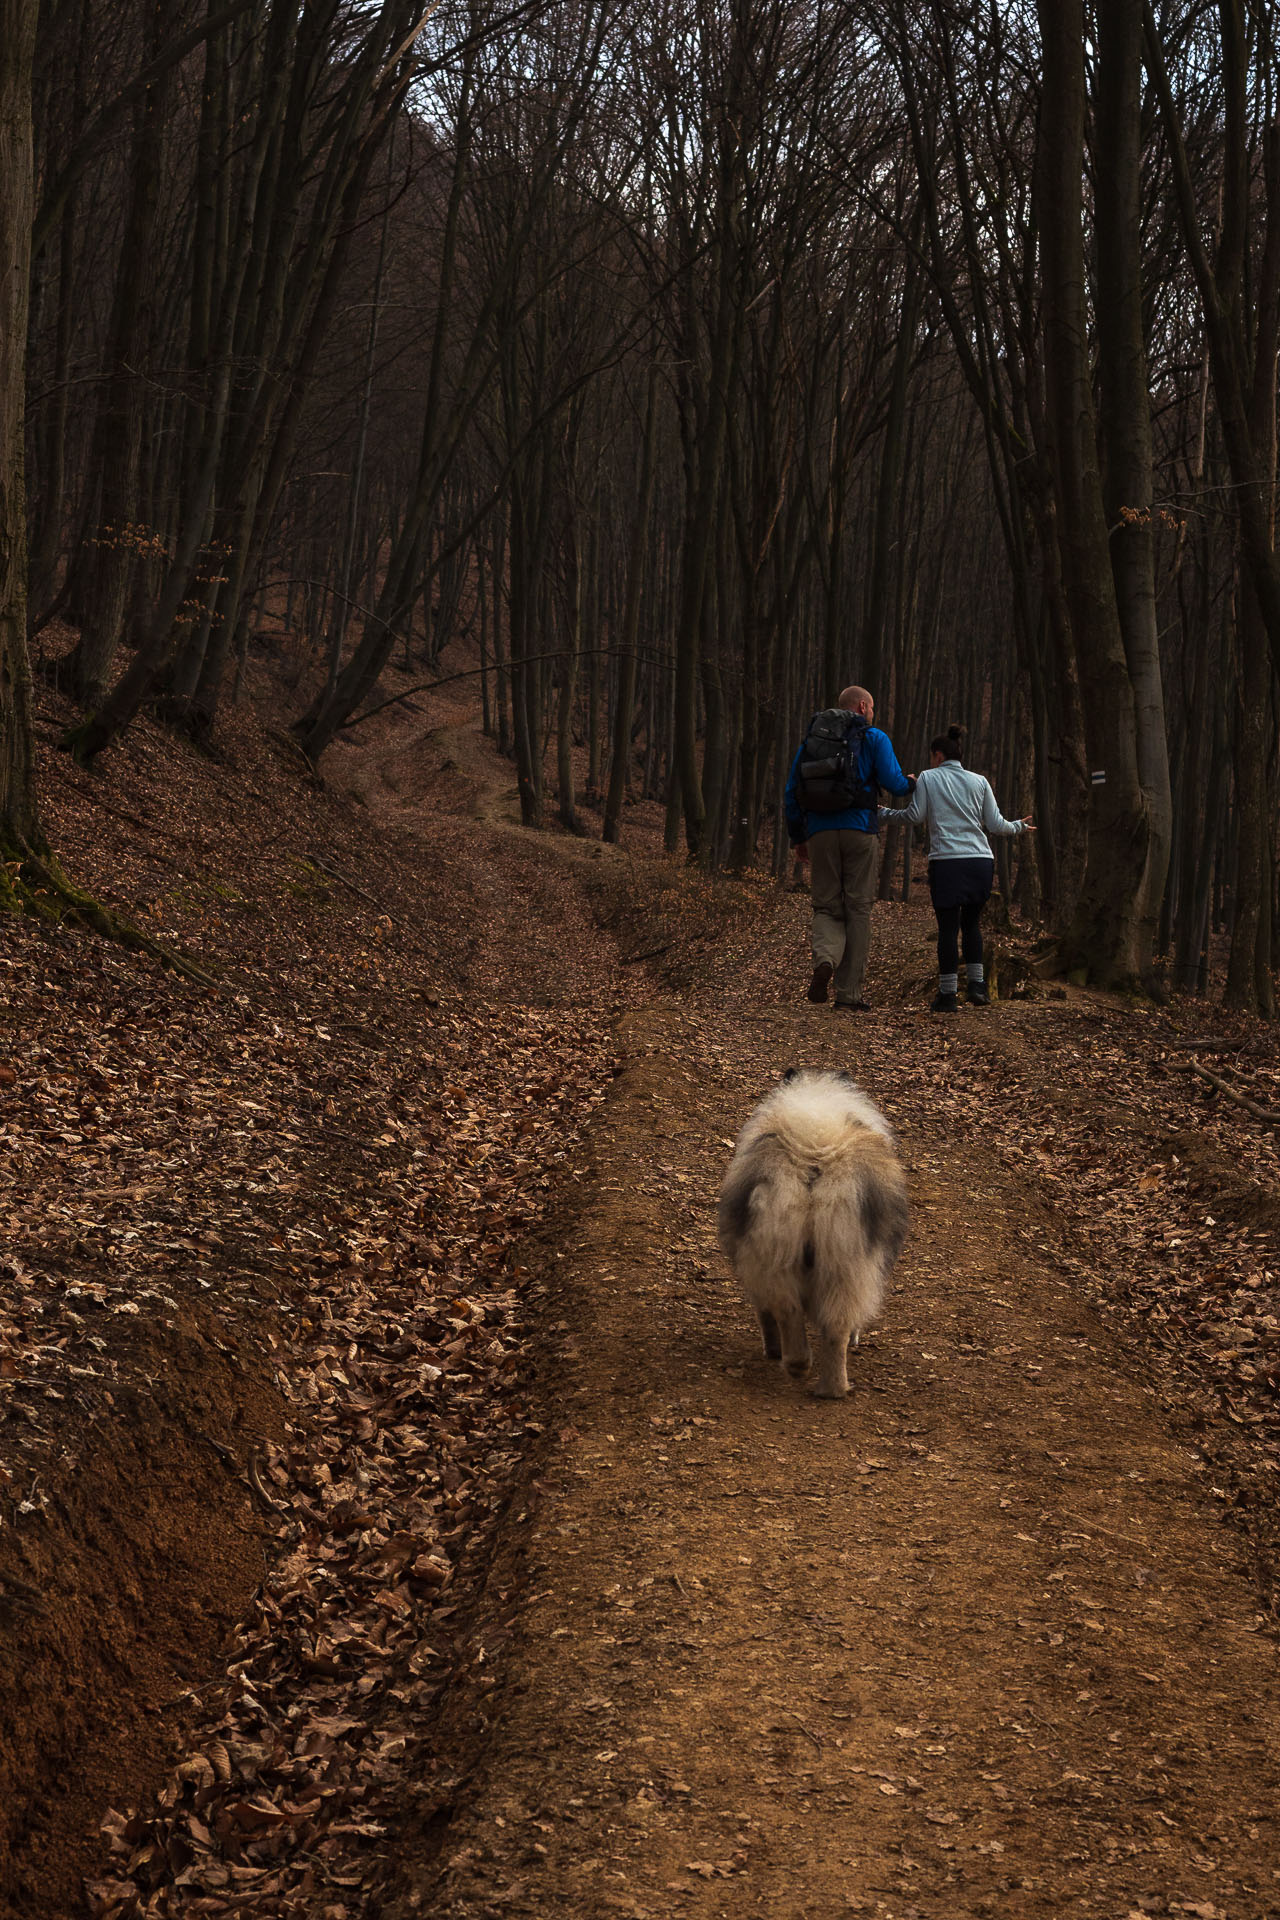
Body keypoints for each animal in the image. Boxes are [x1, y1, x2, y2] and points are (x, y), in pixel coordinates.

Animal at [710, 1067, 909, 1397]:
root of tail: (814, 1159)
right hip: (844, 1264)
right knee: (835, 1328)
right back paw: (832, 1388)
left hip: (777, 1254)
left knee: (786, 1310)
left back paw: (795, 1364)